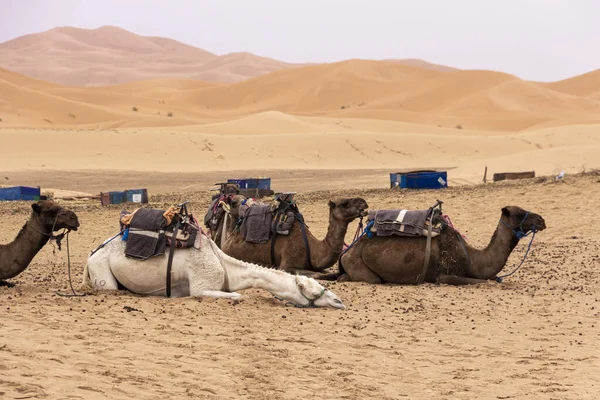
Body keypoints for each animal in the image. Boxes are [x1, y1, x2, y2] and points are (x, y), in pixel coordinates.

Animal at [84, 228, 346, 310]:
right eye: (313, 291)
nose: (340, 301)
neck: (227, 267)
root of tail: (91, 254)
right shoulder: (200, 288)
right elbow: (237, 295)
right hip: (102, 273)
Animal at [340, 206, 548, 284]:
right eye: (519, 213)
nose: (541, 220)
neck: (472, 258)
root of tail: (347, 251)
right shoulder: (444, 275)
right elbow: (484, 281)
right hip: (357, 263)